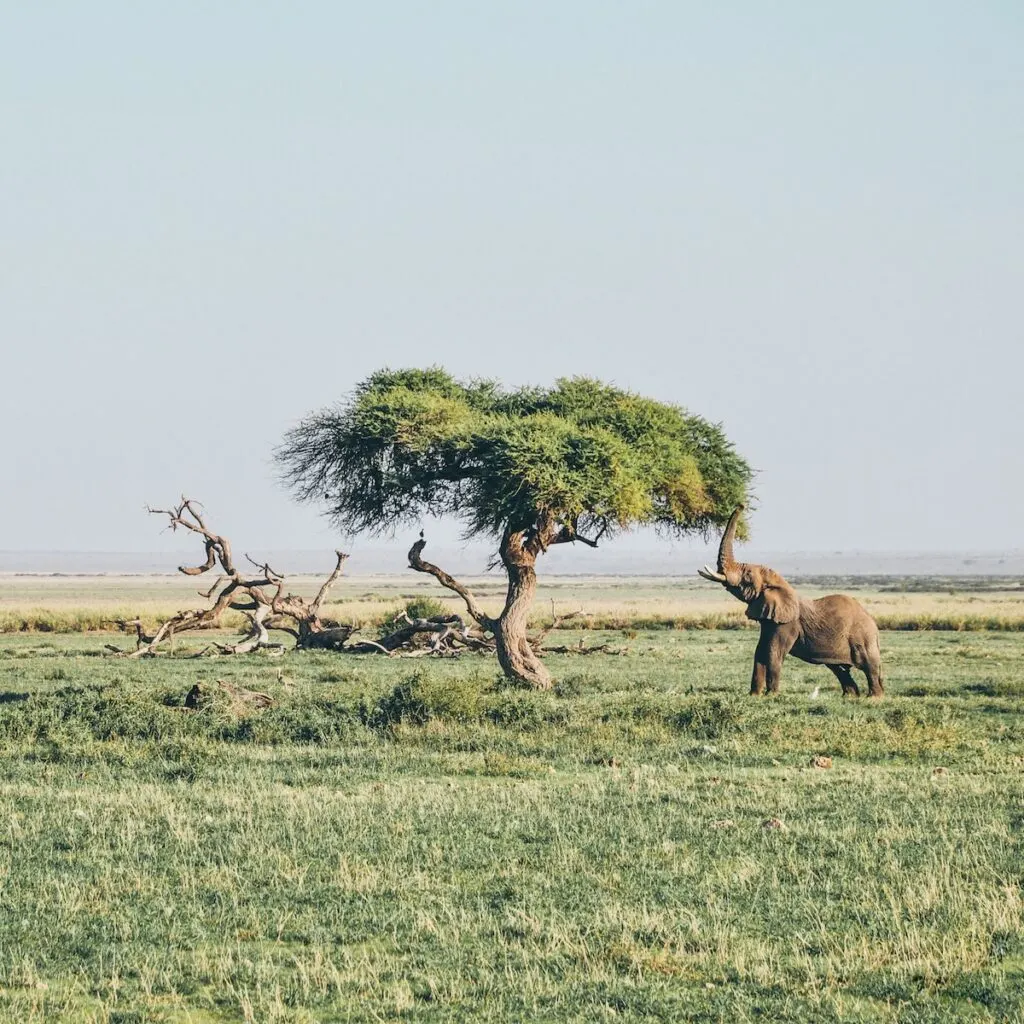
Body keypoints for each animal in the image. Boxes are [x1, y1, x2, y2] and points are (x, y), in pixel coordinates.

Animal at [700, 503, 884, 696]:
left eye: (748, 576)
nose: (741, 505)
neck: (780, 584)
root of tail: (873, 623)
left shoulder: (787, 623)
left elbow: (773, 652)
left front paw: (771, 696)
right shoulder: (770, 619)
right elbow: (760, 651)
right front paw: (754, 696)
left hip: (863, 637)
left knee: (869, 666)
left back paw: (873, 698)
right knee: (839, 668)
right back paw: (850, 697)